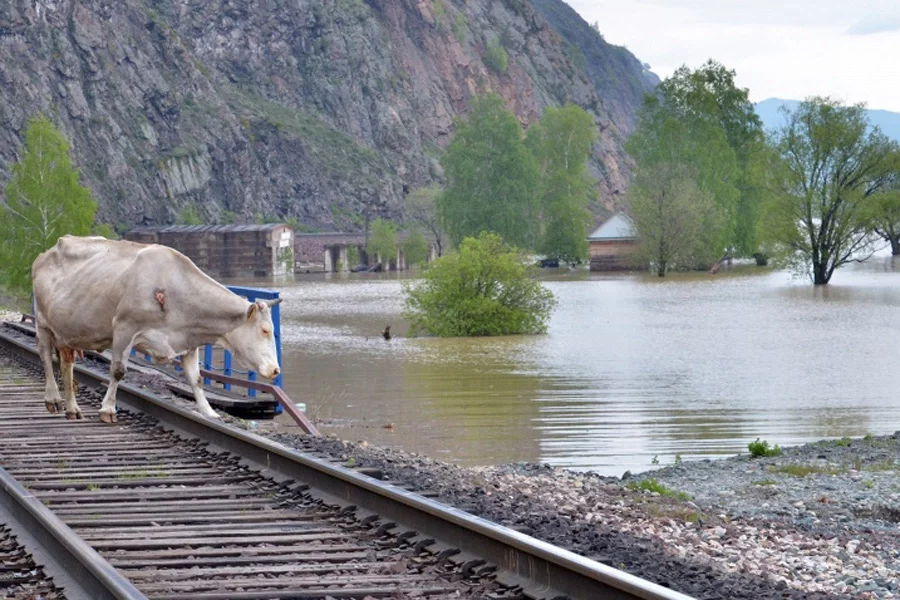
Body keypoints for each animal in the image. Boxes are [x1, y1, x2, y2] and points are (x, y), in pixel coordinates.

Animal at [32, 237, 282, 424]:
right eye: (265, 330)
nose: (276, 370)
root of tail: (45, 253)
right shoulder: (124, 328)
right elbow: (118, 371)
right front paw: (108, 409)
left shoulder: (188, 343)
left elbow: (196, 379)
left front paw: (209, 412)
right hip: (43, 322)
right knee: (45, 357)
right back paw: (53, 400)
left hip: (67, 330)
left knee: (67, 364)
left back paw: (73, 409)